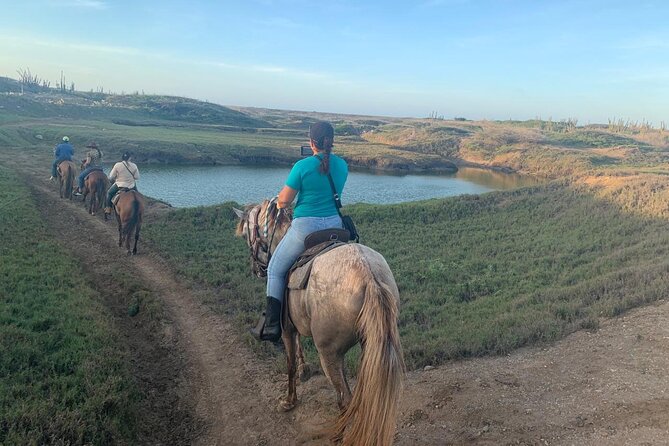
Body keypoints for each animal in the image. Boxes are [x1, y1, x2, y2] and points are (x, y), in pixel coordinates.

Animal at [235, 200, 402, 444]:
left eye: (248, 233)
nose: (255, 269)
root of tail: (368, 277)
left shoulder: (287, 330)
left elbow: (290, 364)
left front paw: (289, 401)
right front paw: (305, 370)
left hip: (329, 353)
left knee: (345, 397)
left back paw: (338, 435)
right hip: (369, 345)